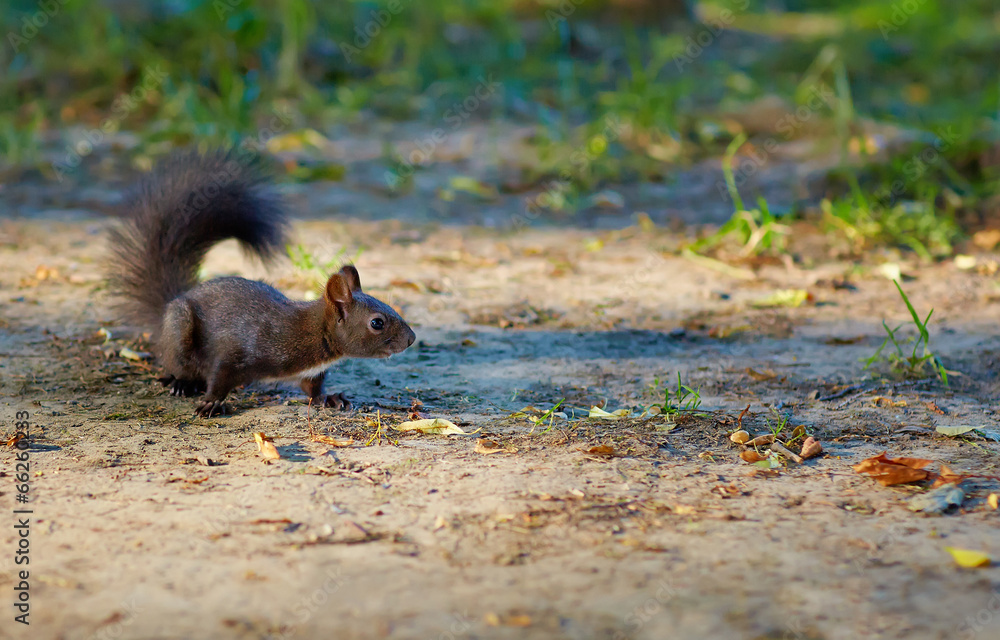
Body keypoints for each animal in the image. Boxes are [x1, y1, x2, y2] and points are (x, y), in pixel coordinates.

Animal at [108, 151, 418, 420]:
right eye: (377, 323)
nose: (412, 339)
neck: (311, 335)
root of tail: (171, 303)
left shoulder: (310, 372)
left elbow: (312, 389)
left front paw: (330, 398)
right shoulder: (238, 349)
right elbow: (219, 377)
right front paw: (210, 403)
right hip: (179, 328)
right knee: (176, 362)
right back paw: (182, 383)